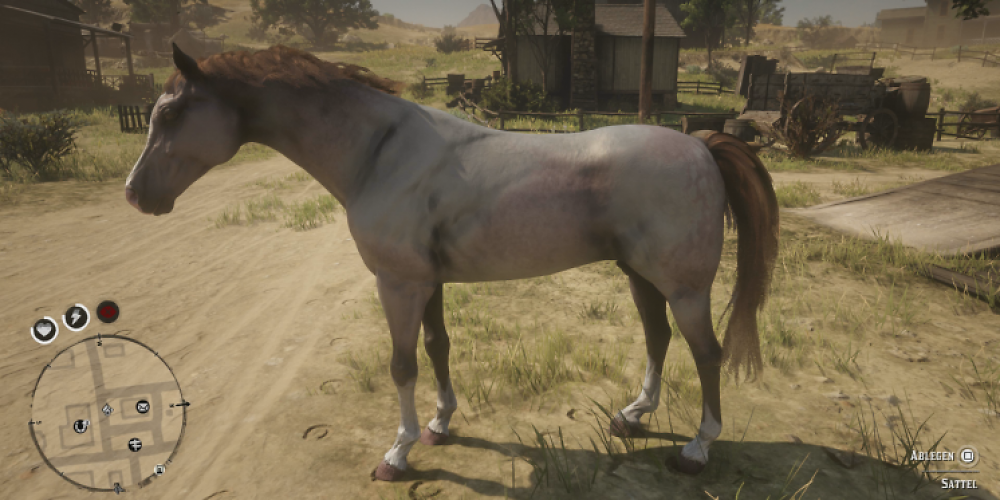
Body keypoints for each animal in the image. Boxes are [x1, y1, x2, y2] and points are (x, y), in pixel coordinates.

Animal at [126, 44, 779, 481]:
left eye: (171, 114)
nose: (135, 195)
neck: (378, 152)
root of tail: (700, 144)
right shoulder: (428, 282)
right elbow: (438, 347)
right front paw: (440, 425)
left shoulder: (398, 285)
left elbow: (401, 365)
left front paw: (398, 452)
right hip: (640, 275)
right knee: (657, 337)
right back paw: (633, 416)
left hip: (684, 286)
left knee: (706, 352)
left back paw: (697, 448)